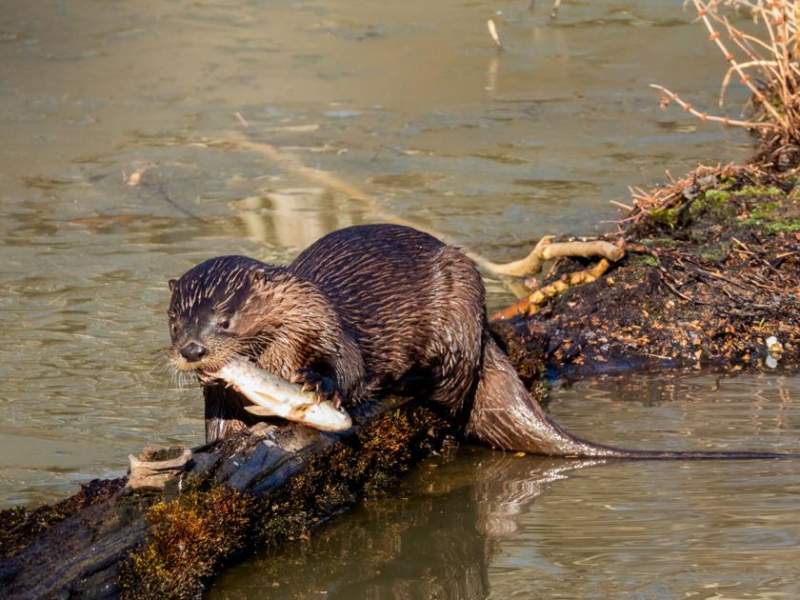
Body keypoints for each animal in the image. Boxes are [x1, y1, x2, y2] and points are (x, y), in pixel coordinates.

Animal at [169, 223, 788, 458]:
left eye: (224, 321)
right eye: (175, 322)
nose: (193, 350)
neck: (277, 352)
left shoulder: (323, 320)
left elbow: (348, 365)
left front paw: (318, 387)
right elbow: (218, 421)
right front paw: (214, 447)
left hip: (462, 297)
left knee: (455, 384)